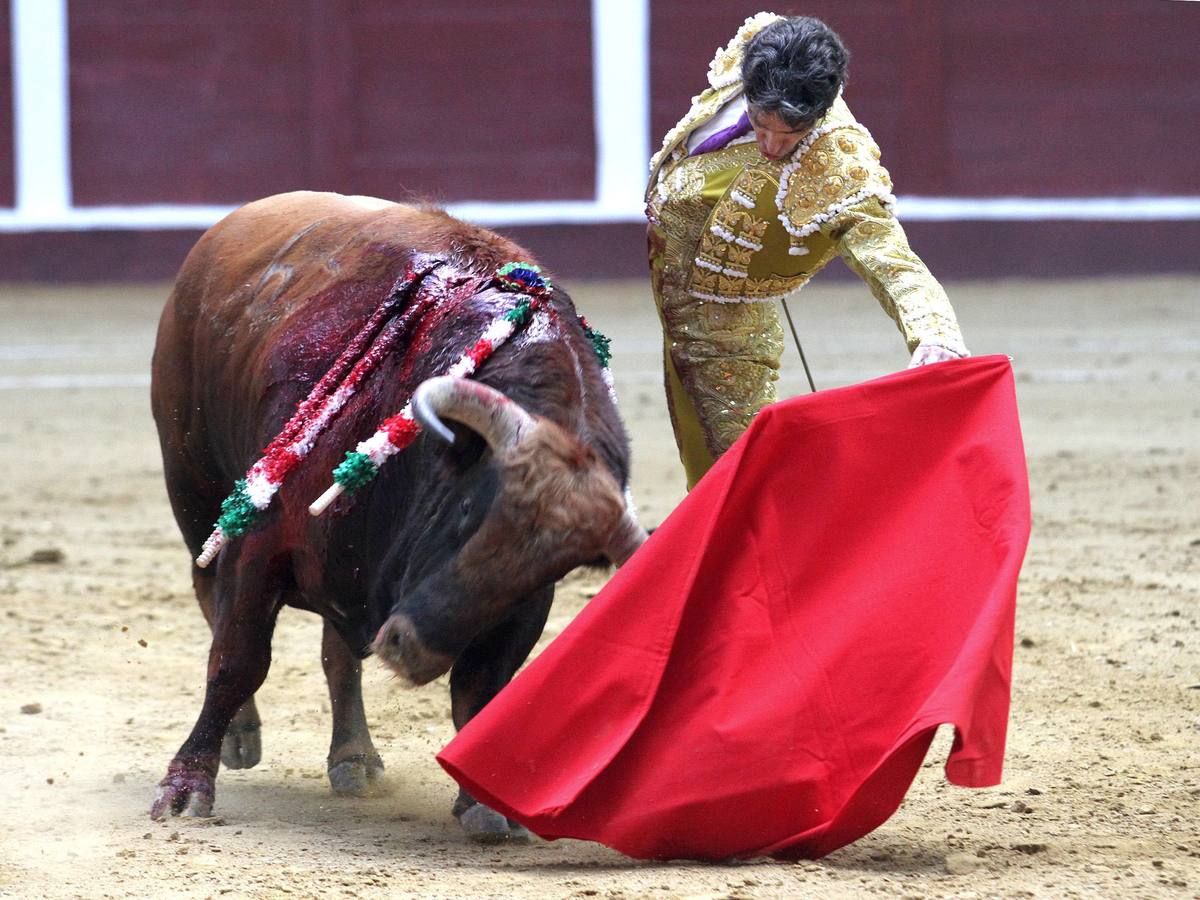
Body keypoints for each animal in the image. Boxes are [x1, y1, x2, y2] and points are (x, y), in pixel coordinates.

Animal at [151, 192, 648, 844]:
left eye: (557, 568)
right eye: (467, 508)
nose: (410, 648)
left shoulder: (520, 609)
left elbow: (480, 690)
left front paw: (482, 803)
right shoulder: (262, 544)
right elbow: (237, 659)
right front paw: (186, 786)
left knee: (338, 652)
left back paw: (354, 757)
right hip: (196, 489)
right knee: (211, 598)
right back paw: (240, 736)